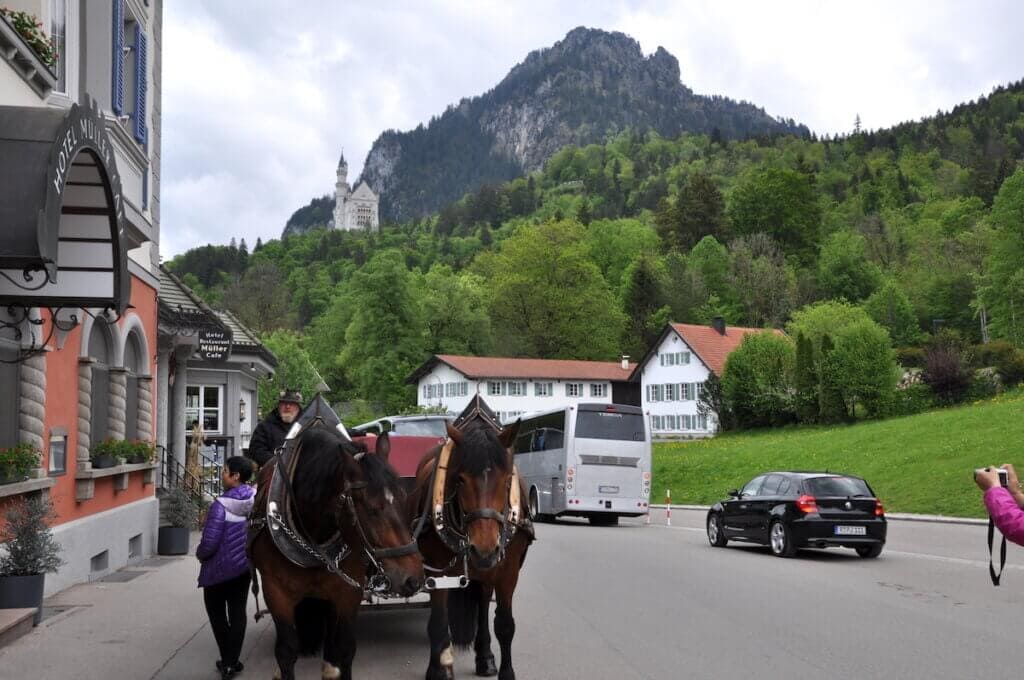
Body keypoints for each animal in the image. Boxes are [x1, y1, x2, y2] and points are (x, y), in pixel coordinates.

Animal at [250, 421, 423, 675]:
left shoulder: (347, 594)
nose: (413, 578)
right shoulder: (276, 592)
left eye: (404, 498)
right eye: (372, 509)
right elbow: (286, 652)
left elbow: (343, 649)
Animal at [407, 399, 536, 680]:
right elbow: (438, 622)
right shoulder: (438, 571)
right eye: (460, 479)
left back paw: (485, 656)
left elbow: (504, 625)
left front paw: (505, 671)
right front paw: (436, 670)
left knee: (483, 602)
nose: (484, 549)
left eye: (506, 479)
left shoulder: (508, 571)